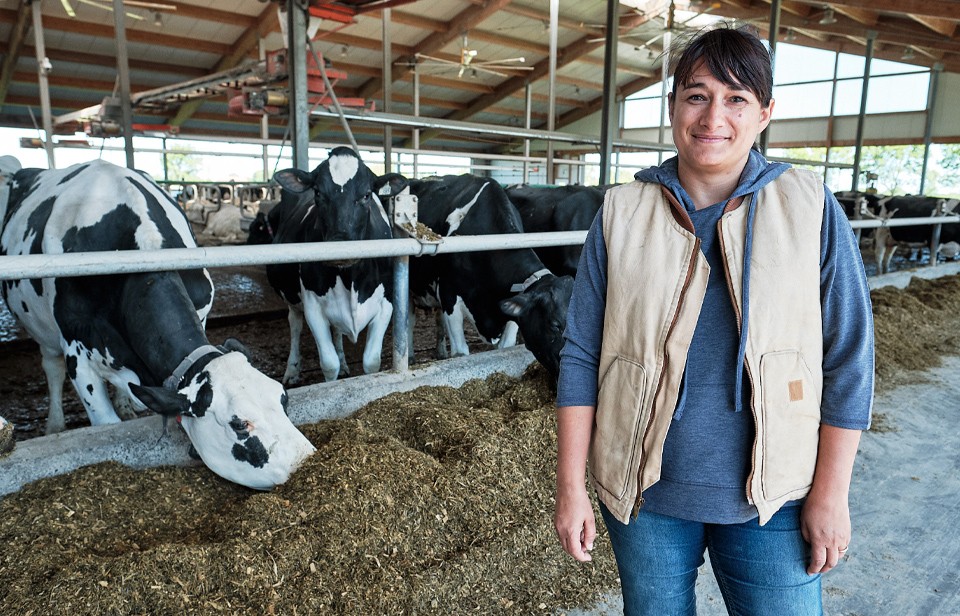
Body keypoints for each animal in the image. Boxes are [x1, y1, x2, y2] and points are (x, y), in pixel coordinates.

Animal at [0, 159, 316, 490]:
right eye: (240, 424)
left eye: (283, 398)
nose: (304, 462)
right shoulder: (78, 355)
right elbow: (105, 423)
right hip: (42, 330)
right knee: (52, 367)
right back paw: (55, 424)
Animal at [266, 147, 408, 382]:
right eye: (318, 193)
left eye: (366, 195)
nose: (341, 245)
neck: (350, 278)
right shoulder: (313, 306)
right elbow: (329, 364)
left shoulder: (386, 303)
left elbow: (371, 361)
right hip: (293, 299)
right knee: (294, 324)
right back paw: (292, 370)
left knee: (336, 331)